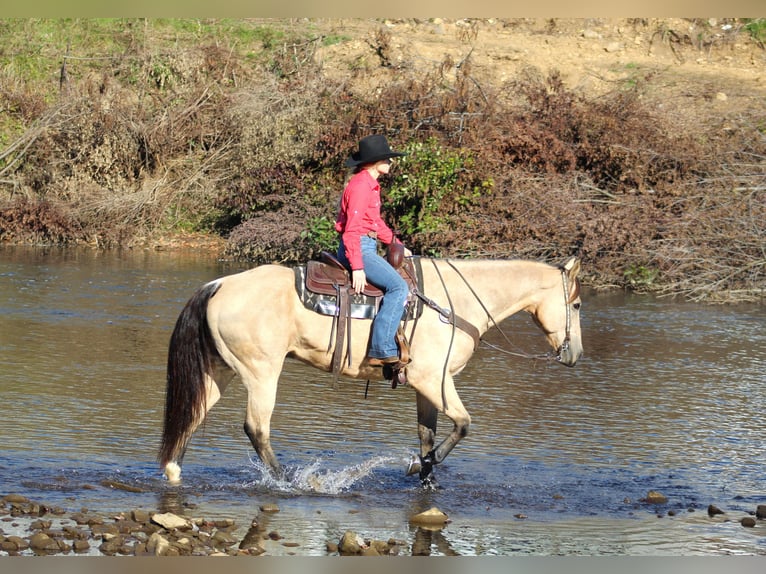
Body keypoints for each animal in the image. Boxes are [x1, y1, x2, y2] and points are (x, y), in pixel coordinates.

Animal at [159, 258, 584, 488]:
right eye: (577, 305)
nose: (575, 355)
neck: (453, 303)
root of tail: (219, 284)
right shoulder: (435, 379)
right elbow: (463, 425)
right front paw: (418, 467)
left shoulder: (424, 385)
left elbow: (427, 435)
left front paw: (427, 477)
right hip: (262, 371)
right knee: (256, 428)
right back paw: (289, 482)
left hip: (220, 371)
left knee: (192, 416)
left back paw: (173, 470)